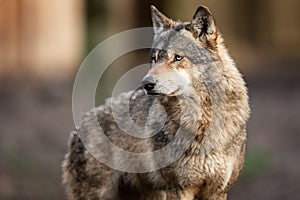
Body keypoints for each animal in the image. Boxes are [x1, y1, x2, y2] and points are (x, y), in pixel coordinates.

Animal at [62, 5, 250, 200]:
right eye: (154, 58)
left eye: (177, 58)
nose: (146, 83)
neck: (201, 124)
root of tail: (79, 126)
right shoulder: (178, 189)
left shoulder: (218, 191)